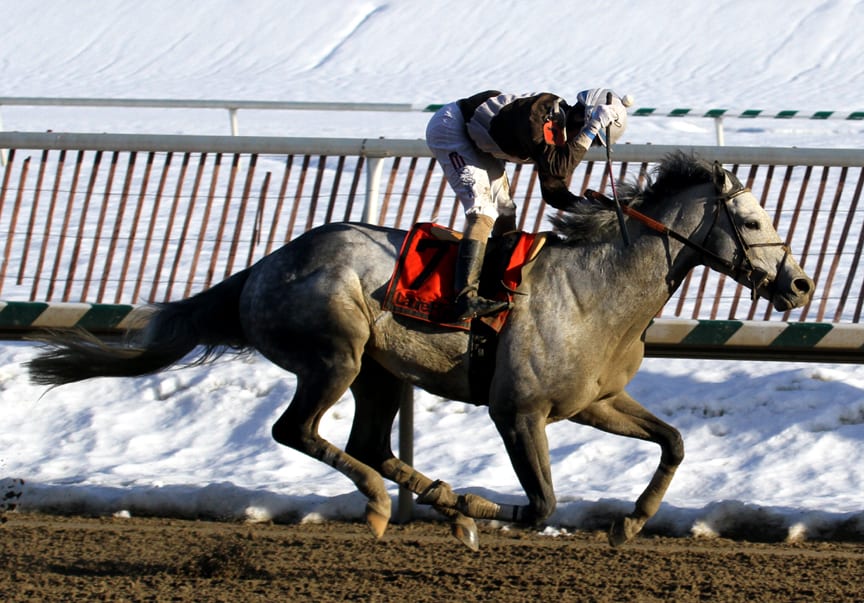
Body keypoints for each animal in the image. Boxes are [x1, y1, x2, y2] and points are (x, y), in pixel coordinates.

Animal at [25, 153, 808, 548]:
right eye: (751, 219)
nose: (799, 283)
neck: (598, 288)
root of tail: (264, 267)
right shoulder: (517, 411)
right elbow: (541, 505)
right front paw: (486, 511)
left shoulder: (596, 400)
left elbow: (673, 441)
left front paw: (630, 519)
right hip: (334, 356)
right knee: (298, 431)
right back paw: (388, 504)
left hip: (376, 372)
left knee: (367, 442)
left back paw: (438, 499)